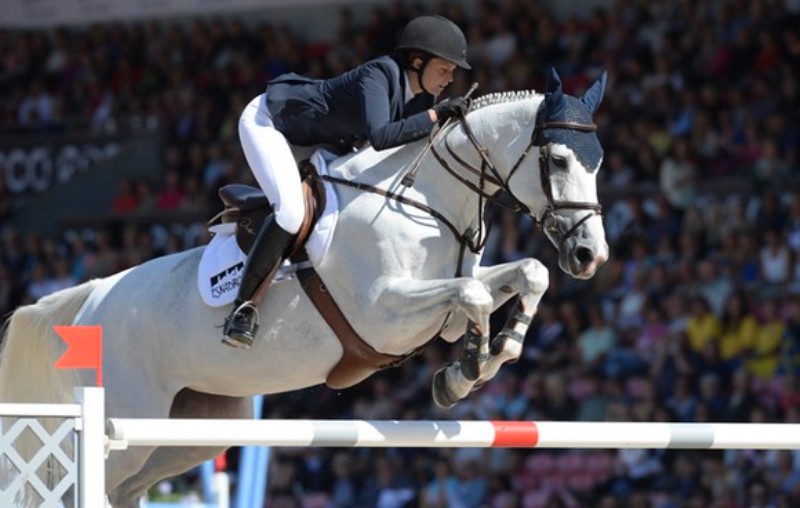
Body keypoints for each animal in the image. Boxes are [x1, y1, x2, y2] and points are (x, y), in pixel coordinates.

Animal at [0, 68, 608, 508]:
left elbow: (527, 274)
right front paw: (464, 373)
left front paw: (489, 355)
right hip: (126, 421)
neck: (423, 197)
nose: (590, 255)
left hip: (193, 430)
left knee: (126, 487)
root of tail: (90, 300)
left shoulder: (447, 296)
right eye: (558, 159)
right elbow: (476, 296)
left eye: (599, 163)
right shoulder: (383, 314)